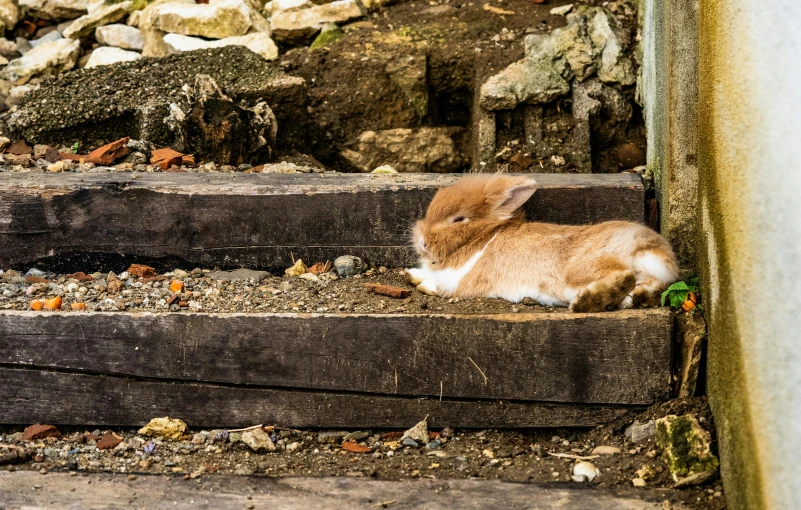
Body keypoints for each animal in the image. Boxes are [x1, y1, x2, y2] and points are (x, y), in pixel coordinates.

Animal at [410, 174, 680, 310]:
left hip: (582, 269)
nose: (422, 242)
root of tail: (646, 245)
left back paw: (586, 302)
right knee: (650, 289)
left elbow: (439, 285)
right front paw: (411, 274)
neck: (484, 236)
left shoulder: (459, 280)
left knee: (624, 276)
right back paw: (638, 298)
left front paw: (419, 283)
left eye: (458, 219)